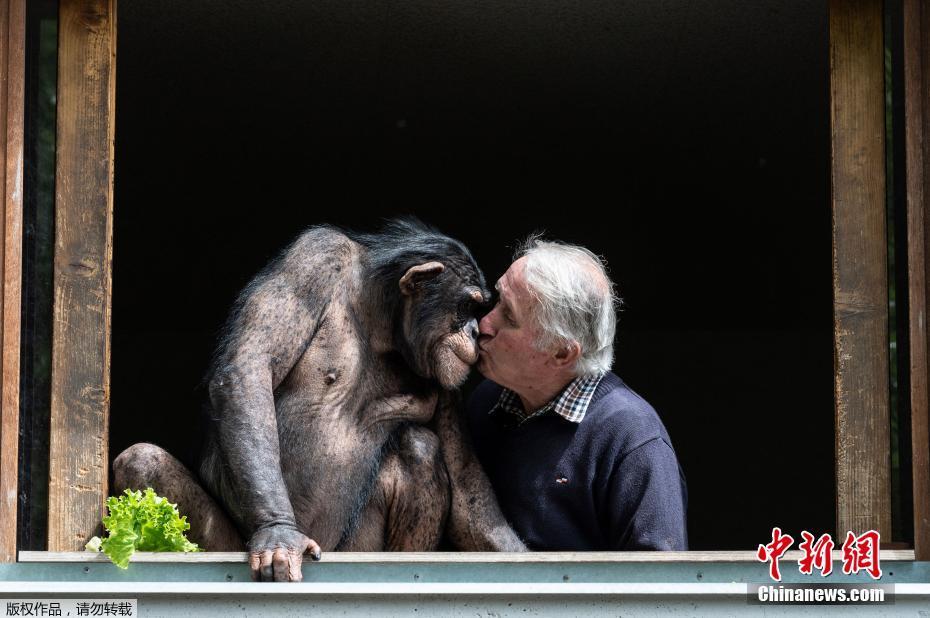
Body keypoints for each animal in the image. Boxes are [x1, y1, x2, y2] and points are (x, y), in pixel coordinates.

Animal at [110, 218, 520, 576]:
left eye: (480, 309)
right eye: (467, 306)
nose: (475, 331)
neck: (381, 320)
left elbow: (465, 488)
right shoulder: (314, 258)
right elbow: (249, 369)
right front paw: (278, 533)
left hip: (352, 548)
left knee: (419, 448)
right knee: (142, 461)